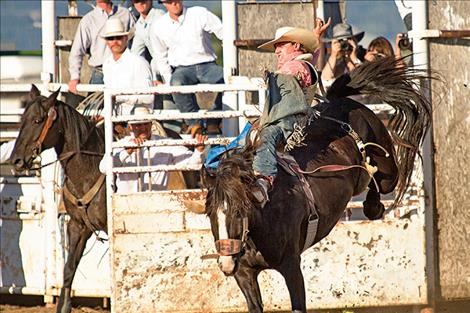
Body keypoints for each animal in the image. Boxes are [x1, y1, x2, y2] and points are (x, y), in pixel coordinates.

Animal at [204, 56, 432, 312]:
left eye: (237, 212)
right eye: (211, 214)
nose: (225, 263)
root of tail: (340, 101)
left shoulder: (291, 266)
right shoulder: (243, 273)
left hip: (385, 167)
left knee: (382, 183)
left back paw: (374, 206)